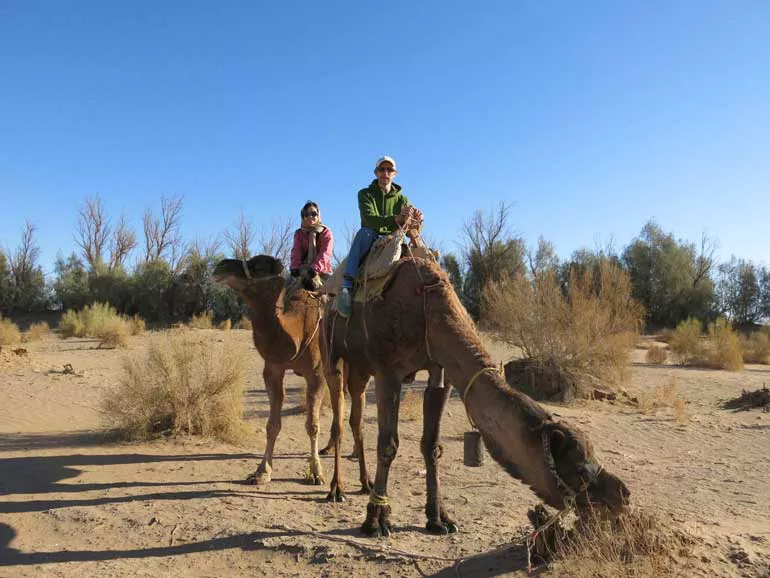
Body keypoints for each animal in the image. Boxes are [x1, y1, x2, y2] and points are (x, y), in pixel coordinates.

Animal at [320, 256, 628, 536]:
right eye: (578, 468)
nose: (621, 495)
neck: (430, 312)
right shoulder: (388, 371)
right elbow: (388, 445)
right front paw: (375, 520)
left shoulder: (441, 372)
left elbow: (432, 446)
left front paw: (439, 519)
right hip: (331, 352)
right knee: (338, 417)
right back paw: (336, 489)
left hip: (360, 368)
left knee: (356, 419)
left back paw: (365, 483)